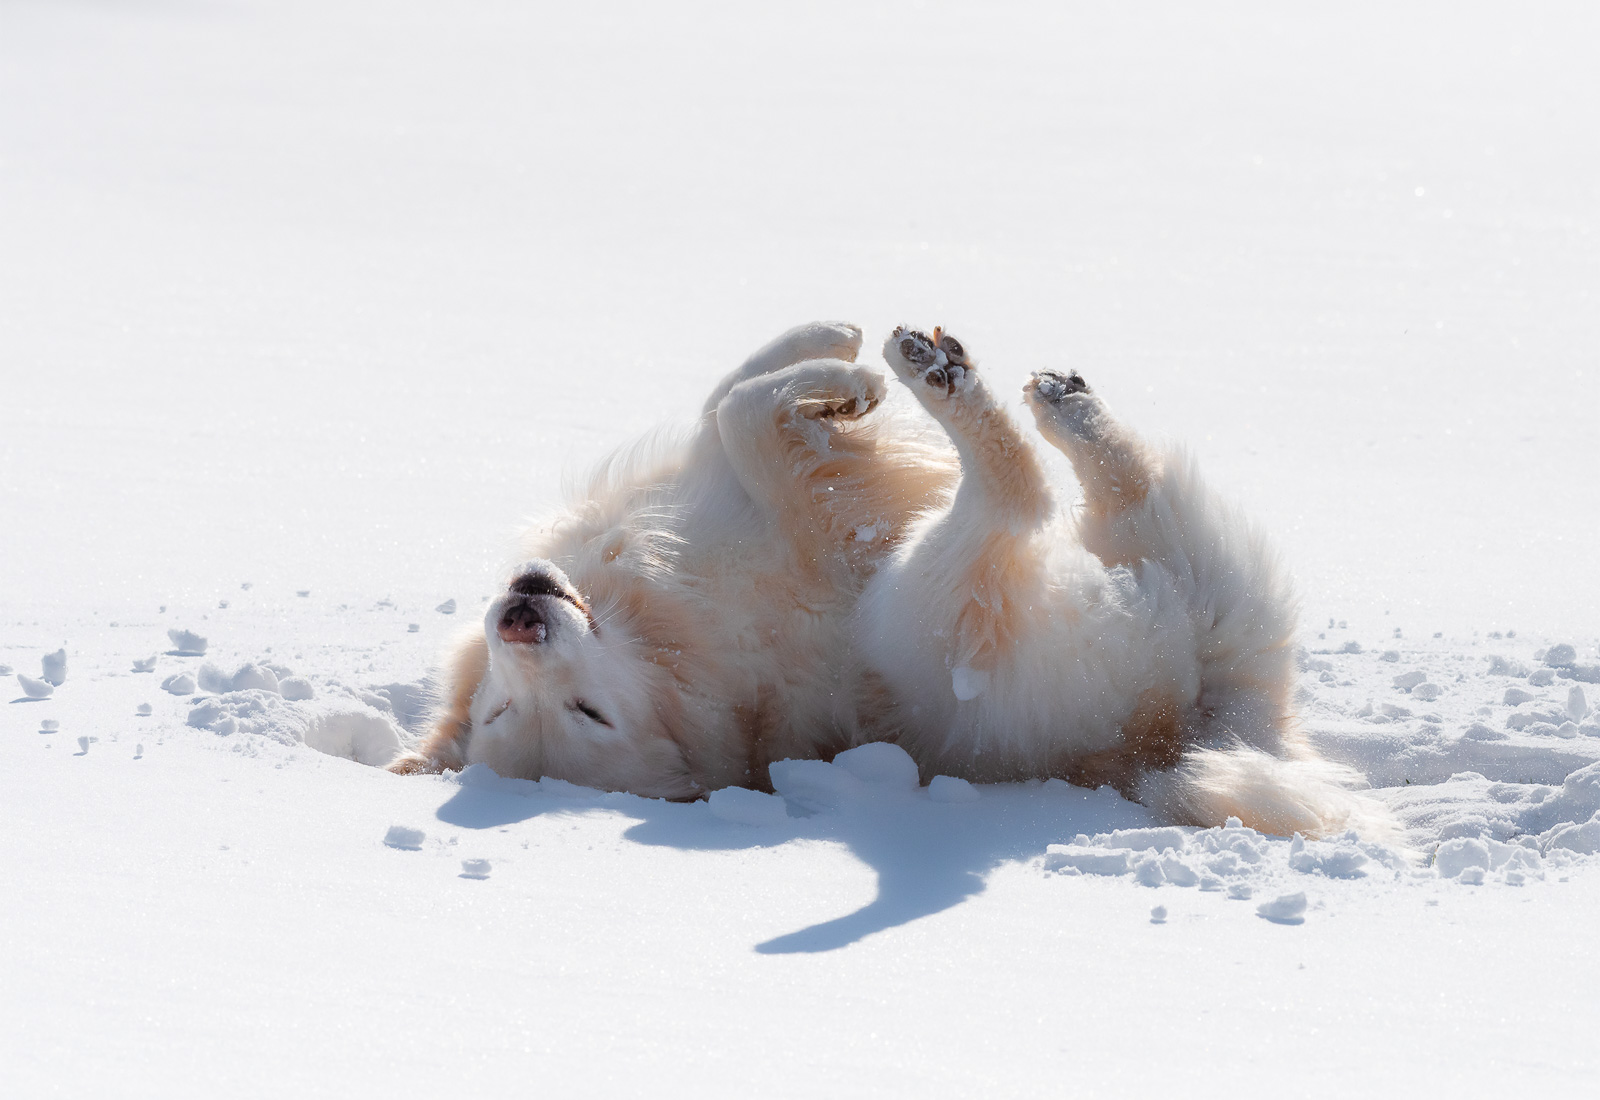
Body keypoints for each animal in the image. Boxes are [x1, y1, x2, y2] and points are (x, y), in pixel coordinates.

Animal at [390, 322, 1376, 837]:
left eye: (583, 712)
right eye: (514, 715)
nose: (520, 621)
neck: (657, 633)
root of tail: (1180, 731)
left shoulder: (705, 489)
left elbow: (734, 396)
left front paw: (827, 358)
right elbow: (748, 417)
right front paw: (847, 381)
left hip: (1200, 582)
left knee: (1136, 501)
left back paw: (1055, 398)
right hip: (918, 610)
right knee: (1017, 500)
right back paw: (952, 386)